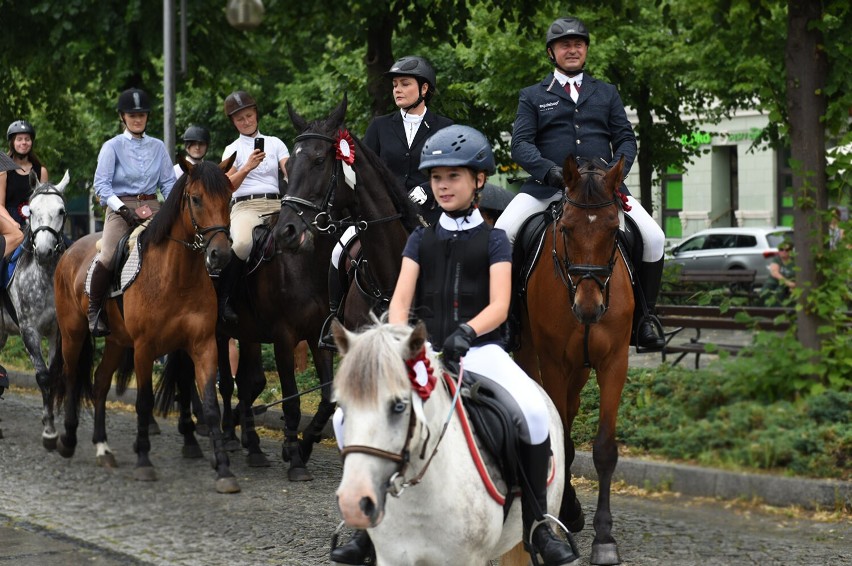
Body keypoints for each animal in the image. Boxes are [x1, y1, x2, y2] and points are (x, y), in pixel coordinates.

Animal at [52, 158, 243, 494]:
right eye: (196, 199)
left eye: (229, 198)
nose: (219, 255)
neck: (177, 277)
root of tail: (70, 250)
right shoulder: (144, 348)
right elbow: (143, 402)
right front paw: (143, 461)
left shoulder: (202, 344)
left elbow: (210, 405)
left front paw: (223, 469)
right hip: (73, 333)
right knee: (72, 377)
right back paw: (69, 439)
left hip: (116, 341)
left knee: (100, 382)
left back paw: (102, 447)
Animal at [336, 324, 568, 566]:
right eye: (342, 406)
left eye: (399, 406)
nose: (353, 504)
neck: (420, 501)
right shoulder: (392, 557)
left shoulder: (468, 559)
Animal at [512, 155, 632, 566]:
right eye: (566, 229)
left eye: (614, 229)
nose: (588, 309)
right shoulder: (553, 363)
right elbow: (561, 439)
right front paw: (563, 516)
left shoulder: (615, 362)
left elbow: (605, 448)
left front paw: (605, 538)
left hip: (581, 371)